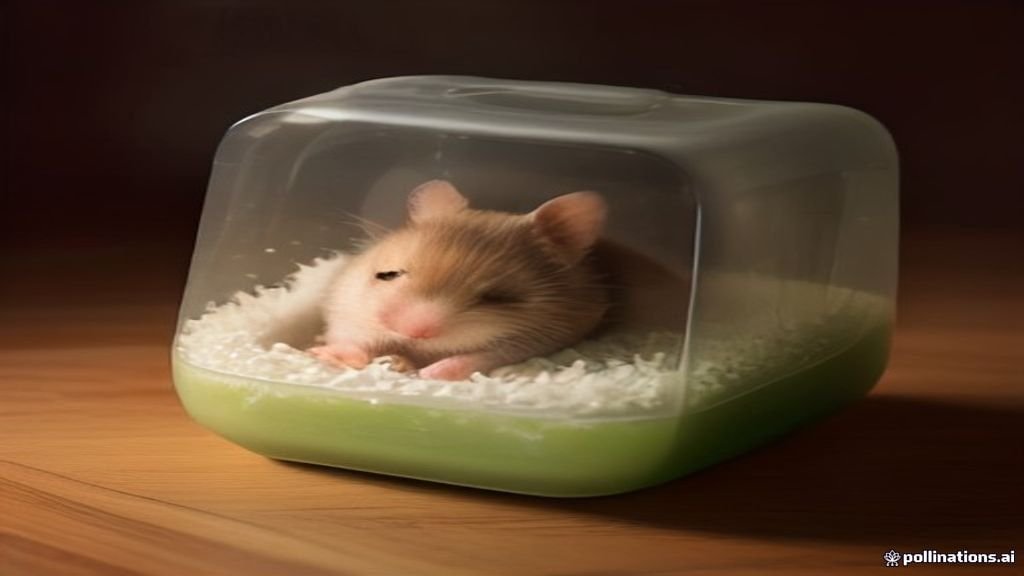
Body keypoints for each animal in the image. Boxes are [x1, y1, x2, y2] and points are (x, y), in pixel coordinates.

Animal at [309, 180, 610, 381]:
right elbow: (355, 340)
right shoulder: (347, 307)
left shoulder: (540, 339)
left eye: (498, 297)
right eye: (386, 274)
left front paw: (428, 374)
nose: (414, 332)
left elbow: (476, 358)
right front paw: (320, 352)